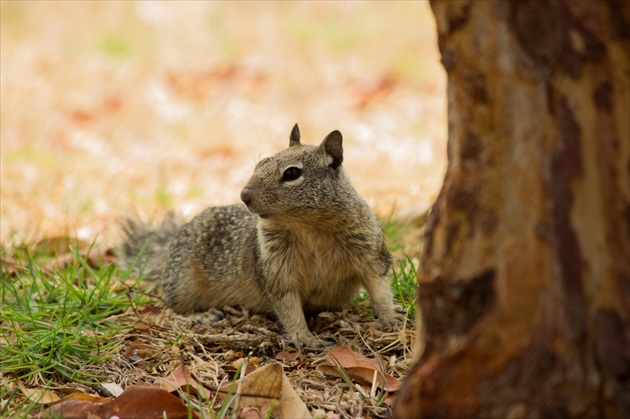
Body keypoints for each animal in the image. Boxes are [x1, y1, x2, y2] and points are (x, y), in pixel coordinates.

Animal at [119, 124, 404, 348]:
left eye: (292, 173)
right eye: (260, 164)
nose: (244, 195)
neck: (308, 226)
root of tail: (165, 256)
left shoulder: (370, 249)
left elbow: (379, 286)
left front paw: (391, 316)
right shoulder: (276, 268)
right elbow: (288, 305)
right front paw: (304, 337)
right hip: (182, 281)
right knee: (173, 308)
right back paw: (202, 316)